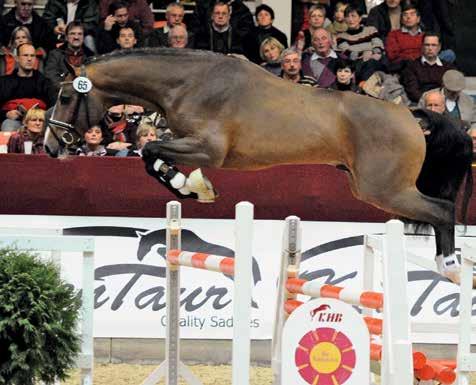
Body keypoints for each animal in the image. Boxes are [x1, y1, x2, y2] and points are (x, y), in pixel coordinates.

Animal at [43, 48, 472, 284]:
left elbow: (150, 153)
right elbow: (152, 159)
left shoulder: (208, 149)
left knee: (441, 209)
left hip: (384, 190)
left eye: (65, 97)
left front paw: (193, 186)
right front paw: (192, 186)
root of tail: (412, 115)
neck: (189, 82)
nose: (49, 146)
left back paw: (449, 265)